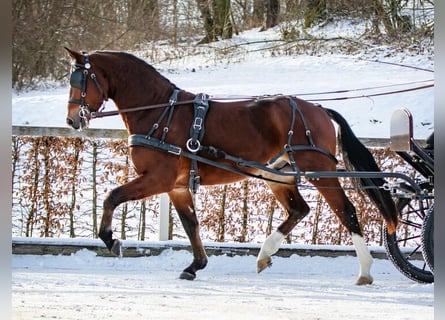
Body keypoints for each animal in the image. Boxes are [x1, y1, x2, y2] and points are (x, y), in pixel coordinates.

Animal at [64, 48, 398, 284]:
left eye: (80, 81)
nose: (72, 120)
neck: (160, 111)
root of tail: (315, 108)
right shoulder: (176, 187)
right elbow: (190, 224)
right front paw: (195, 265)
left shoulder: (158, 179)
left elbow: (112, 197)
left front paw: (111, 239)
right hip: (276, 173)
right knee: (299, 210)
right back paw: (264, 254)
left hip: (318, 171)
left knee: (347, 211)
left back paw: (365, 270)